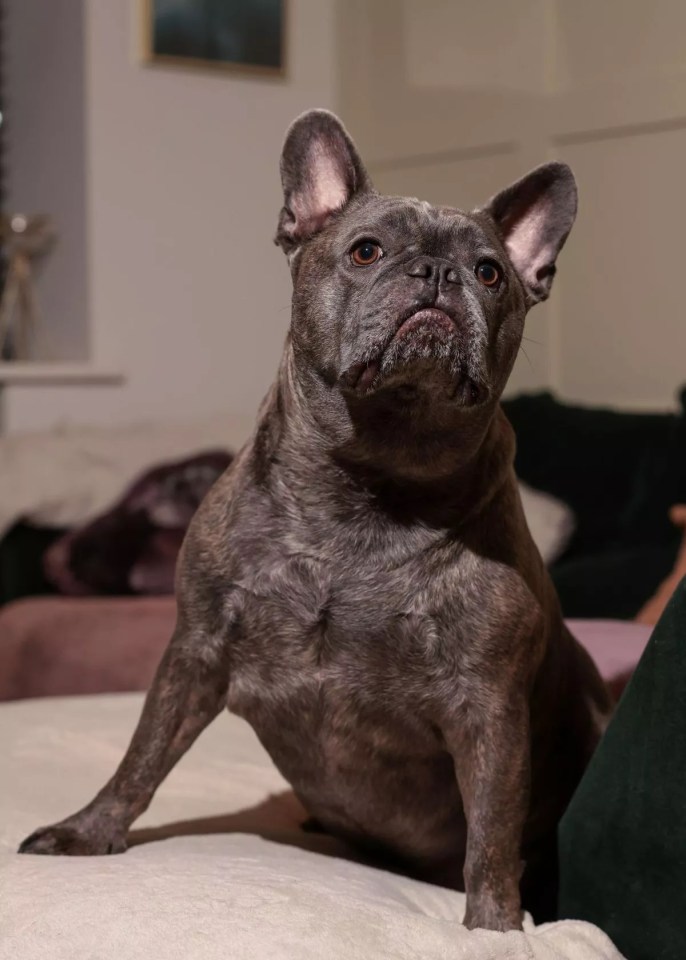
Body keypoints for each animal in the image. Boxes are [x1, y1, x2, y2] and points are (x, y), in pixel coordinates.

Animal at [20, 110, 612, 928]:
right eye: (367, 251)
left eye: (491, 272)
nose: (437, 273)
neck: (367, 483)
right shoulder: (195, 653)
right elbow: (142, 756)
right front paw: (89, 830)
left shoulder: (489, 709)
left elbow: (491, 836)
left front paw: (493, 929)